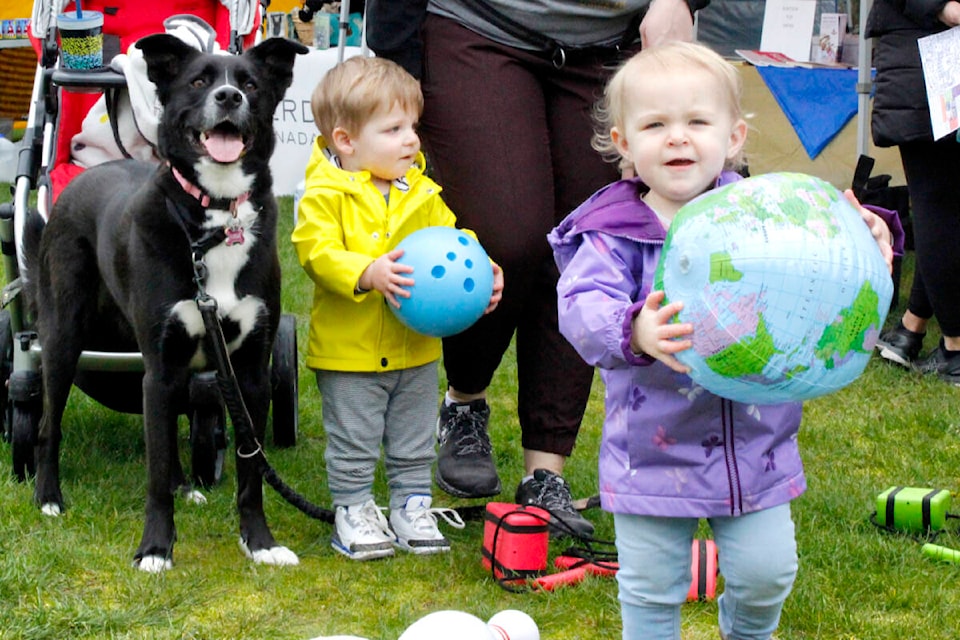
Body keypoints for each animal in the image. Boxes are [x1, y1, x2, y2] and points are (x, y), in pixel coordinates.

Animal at [23, 33, 308, 568]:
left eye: (250, 84)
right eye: (198, 81)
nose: (228, 98)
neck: (216, 216)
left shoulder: (249, 372)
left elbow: (250, 471)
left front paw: (260, 543)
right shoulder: (160, 363)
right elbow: (152, 475)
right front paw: (155, 549)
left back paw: (184, 485)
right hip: (62, 337)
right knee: (50, 422)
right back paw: (48, 497)